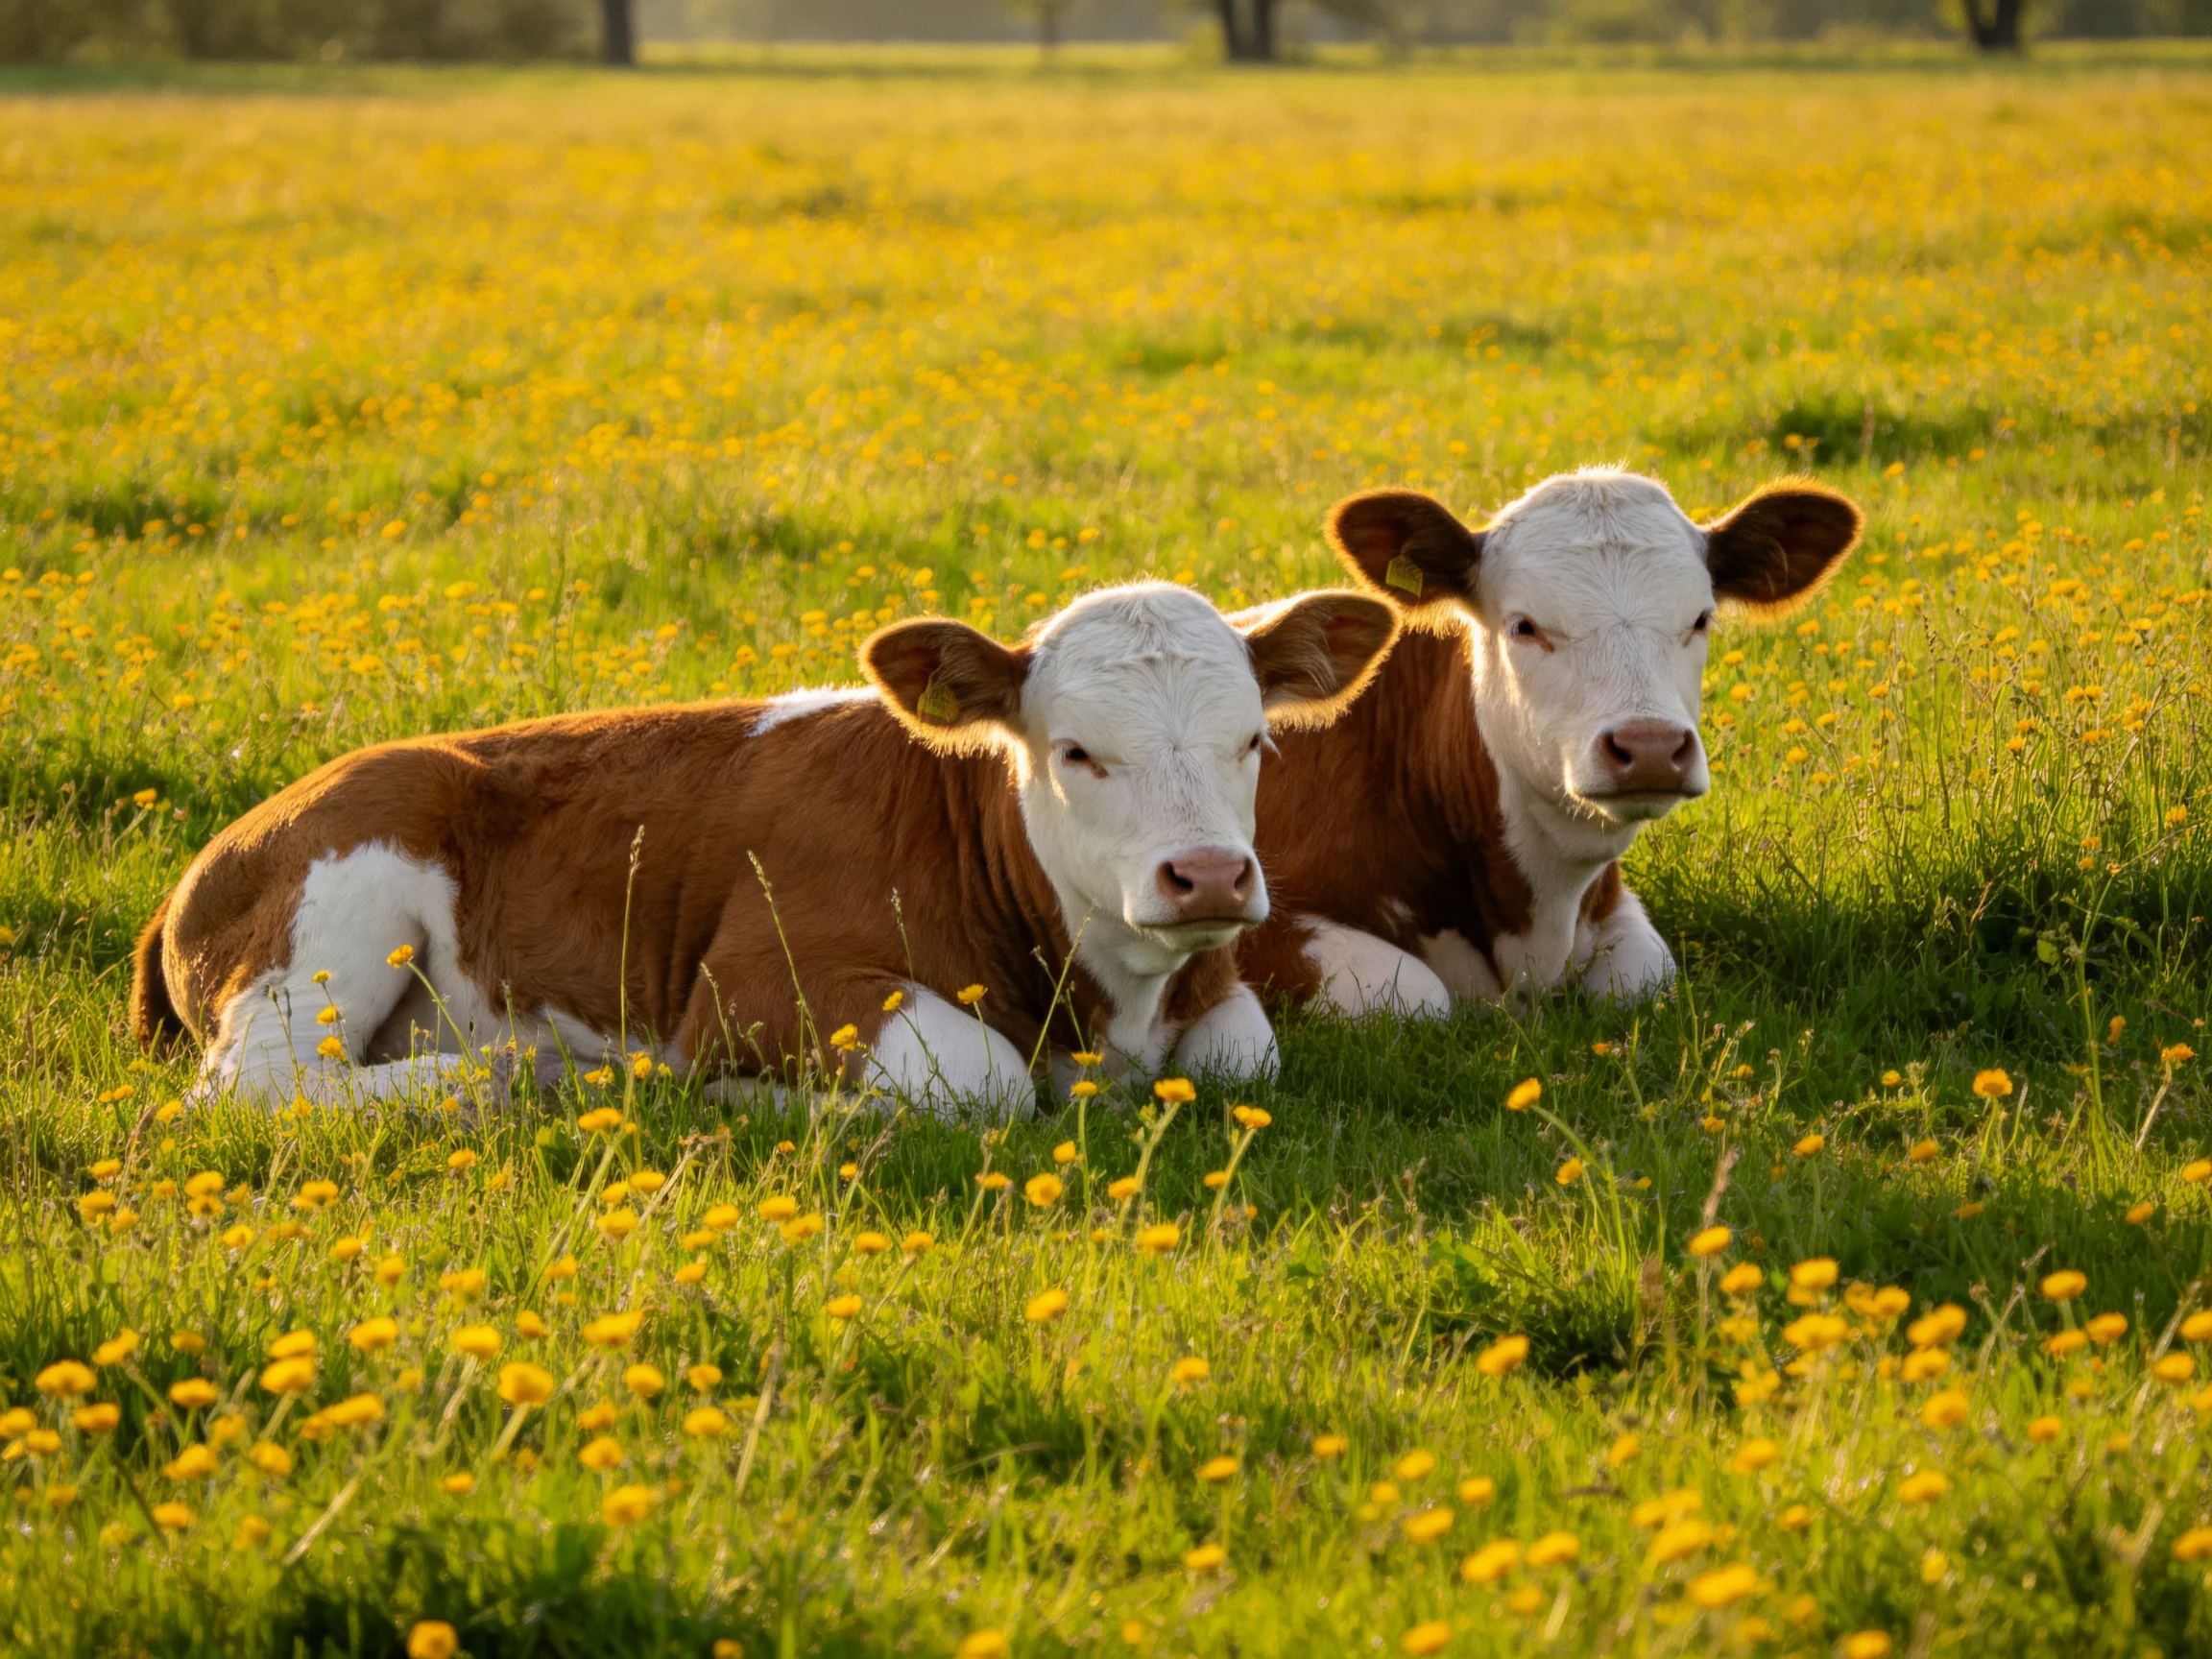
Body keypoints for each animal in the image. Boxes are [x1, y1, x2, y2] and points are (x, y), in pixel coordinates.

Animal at [129, 582, 1397, 1116]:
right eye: (1077, 751)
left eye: (1253, 739)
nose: (1209, 876)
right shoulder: (756, 986)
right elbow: (973, 1076)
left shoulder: (1211, 998)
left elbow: (1244, 1056)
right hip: (338, 905)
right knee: (254, 1090)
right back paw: (527, 1077)